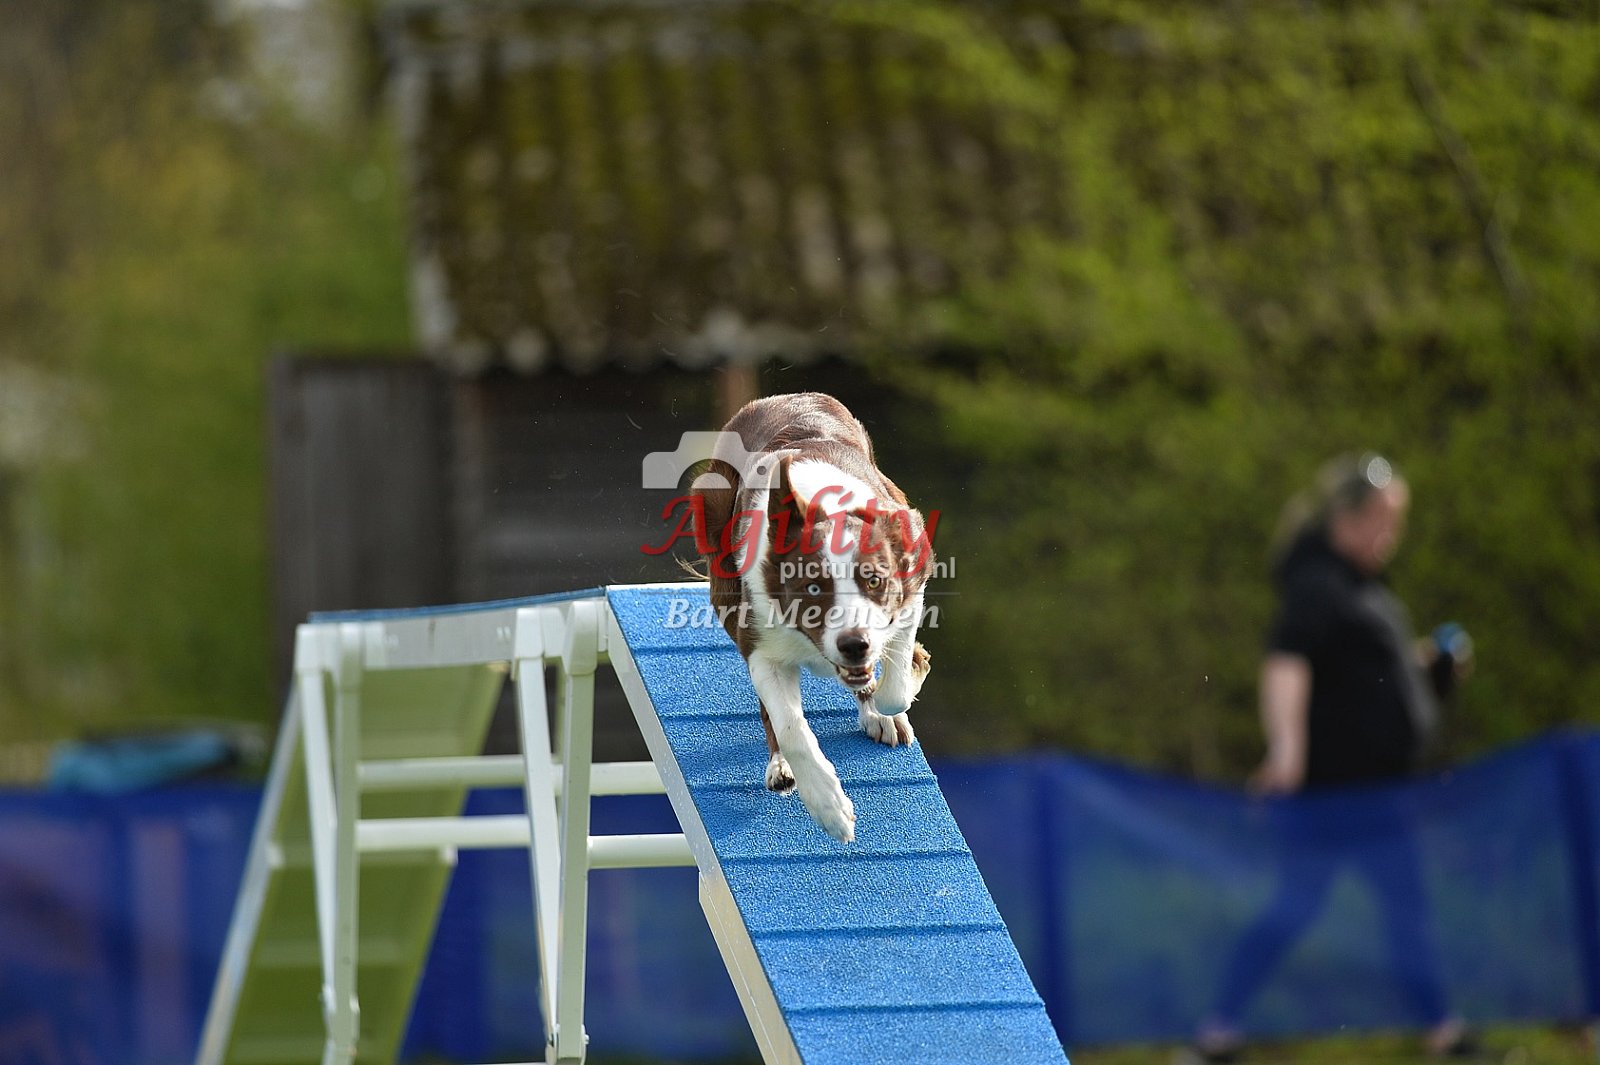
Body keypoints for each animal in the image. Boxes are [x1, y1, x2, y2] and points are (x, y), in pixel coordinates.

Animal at [692, 392, 934, 842]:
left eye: (873, 580)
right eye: (814, 588)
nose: (854, 644)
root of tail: (783, 398)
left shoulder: (914, 575)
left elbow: (893, 688)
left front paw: (900, 685)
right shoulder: (761, 644)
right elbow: (791, 727)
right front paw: (829, 806)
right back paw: (782, 768)